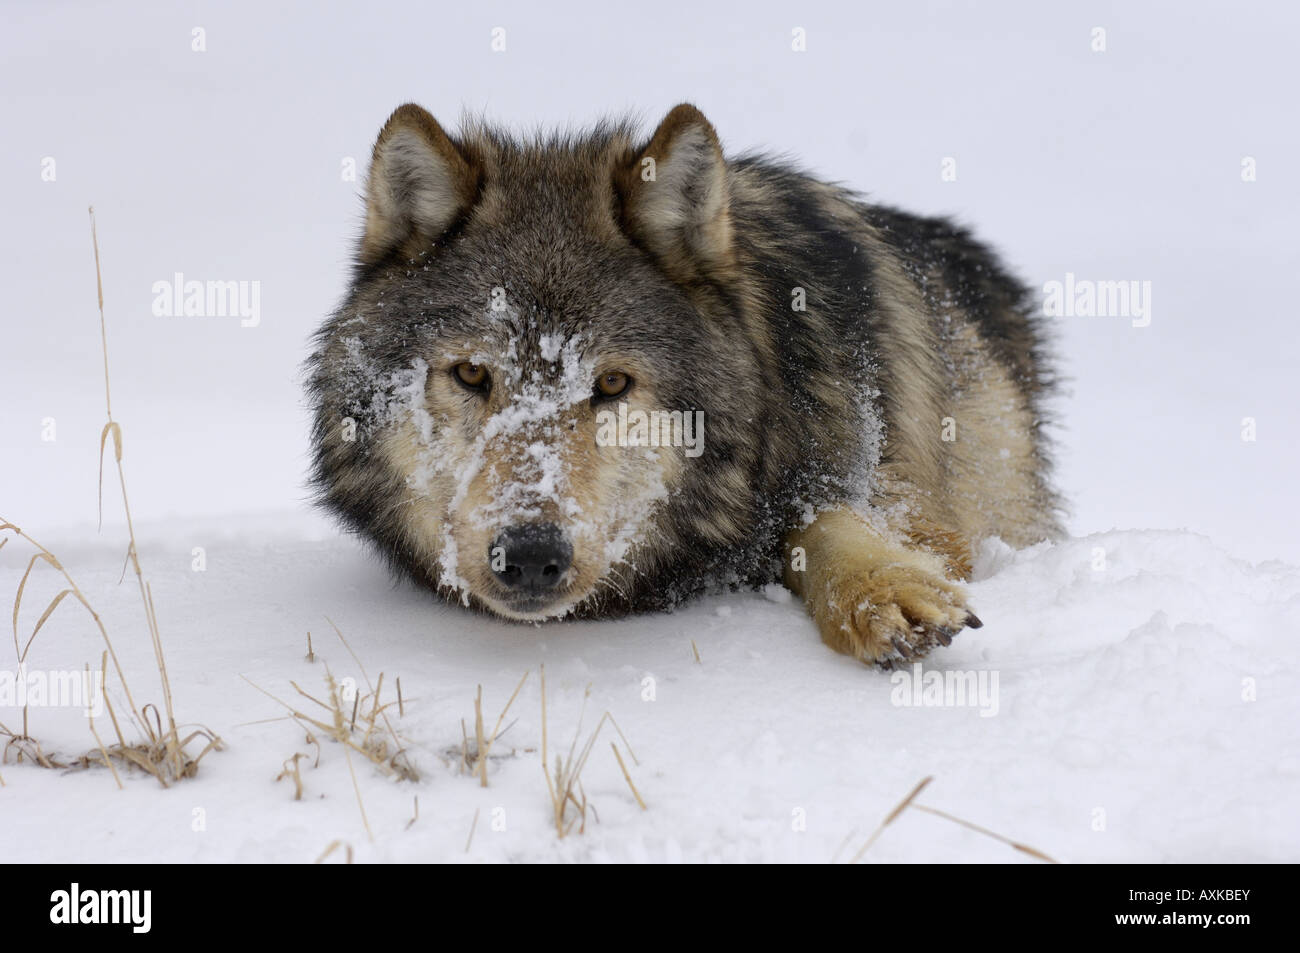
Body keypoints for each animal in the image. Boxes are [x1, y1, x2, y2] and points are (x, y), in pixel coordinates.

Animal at [306, 103, 1061, 668]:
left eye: (612, 382)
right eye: (470, 373)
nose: (530, 556)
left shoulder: (897, 495)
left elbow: (826, 520)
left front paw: (883, 588)